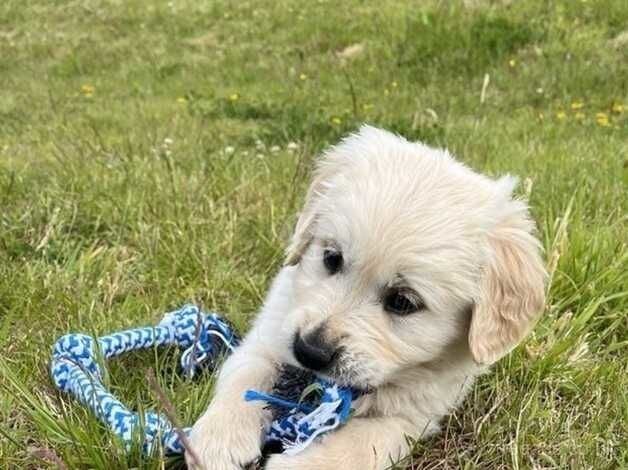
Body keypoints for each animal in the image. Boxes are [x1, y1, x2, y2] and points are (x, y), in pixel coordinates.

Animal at [186, 126, 544, 470]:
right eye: (331, 258)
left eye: (403, 302)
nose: (309, 351)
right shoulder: (272, 329)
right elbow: (245, 375)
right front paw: (219, 439)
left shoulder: (415, 415)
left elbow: (363, 444)